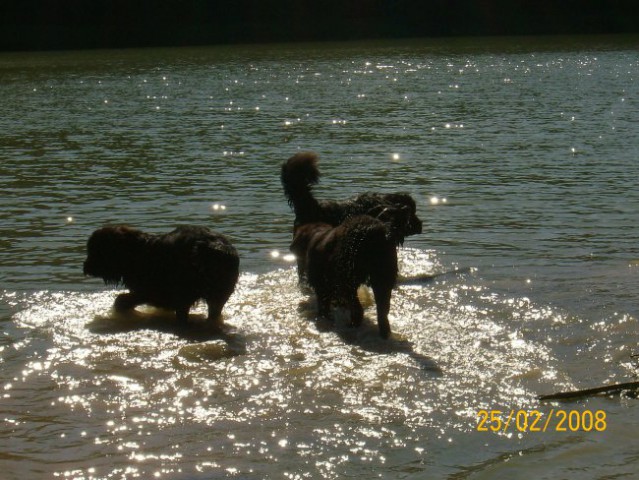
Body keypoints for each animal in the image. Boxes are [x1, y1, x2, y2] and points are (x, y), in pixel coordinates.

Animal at [82, 225, 238, 330]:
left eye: (95, 250)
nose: (85, 268)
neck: (136, 252)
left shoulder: (147, 292)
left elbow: (121, 300)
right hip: (219, 293)